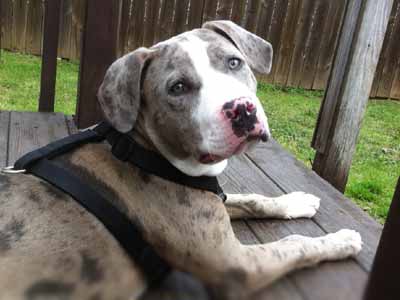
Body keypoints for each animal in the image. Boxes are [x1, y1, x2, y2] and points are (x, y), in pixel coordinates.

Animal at [0, 21, 362, 300]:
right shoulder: (238, 266)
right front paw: (342, 239)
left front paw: (296, 201)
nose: (242, 110)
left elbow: (251, 199)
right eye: (177, 87)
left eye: (234, 62)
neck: (139, 150)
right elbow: (296, 243)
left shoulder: (211, 201)